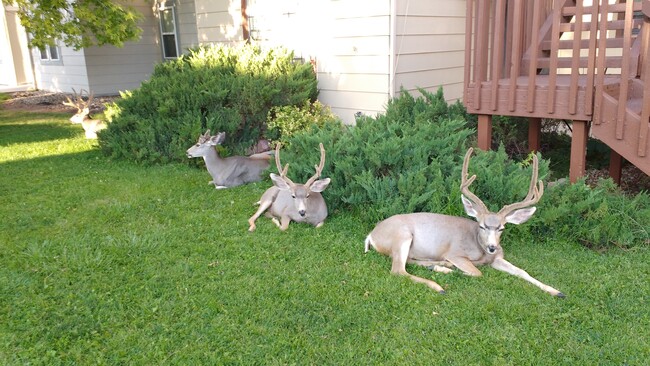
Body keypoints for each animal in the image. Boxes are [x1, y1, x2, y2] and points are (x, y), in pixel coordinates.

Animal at [362, 148, 564, 298]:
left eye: (501, 228)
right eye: (482, 225)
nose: (492, 247)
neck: (480, 249)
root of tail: (372, 235)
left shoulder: (496, 258)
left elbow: (523, 271)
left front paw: (556, 291)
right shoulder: (456, 253)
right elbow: (477, 273)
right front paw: (449, 269)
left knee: (408, 262)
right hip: (401, 235)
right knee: (398, 270)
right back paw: (439, 282)